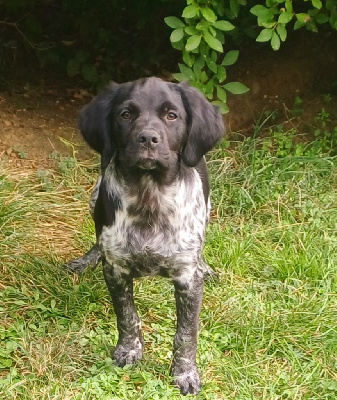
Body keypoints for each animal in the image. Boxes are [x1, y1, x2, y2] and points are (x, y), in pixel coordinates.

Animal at [65, 77, 223, 394]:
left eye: (171, 115)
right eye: (126, 114)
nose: (148, 138)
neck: (149, 196)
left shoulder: (187, 280)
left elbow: (186, 333)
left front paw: (184, 373)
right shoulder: (116, 270)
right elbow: (127, 317)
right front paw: (129, 350)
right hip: (94, 195)